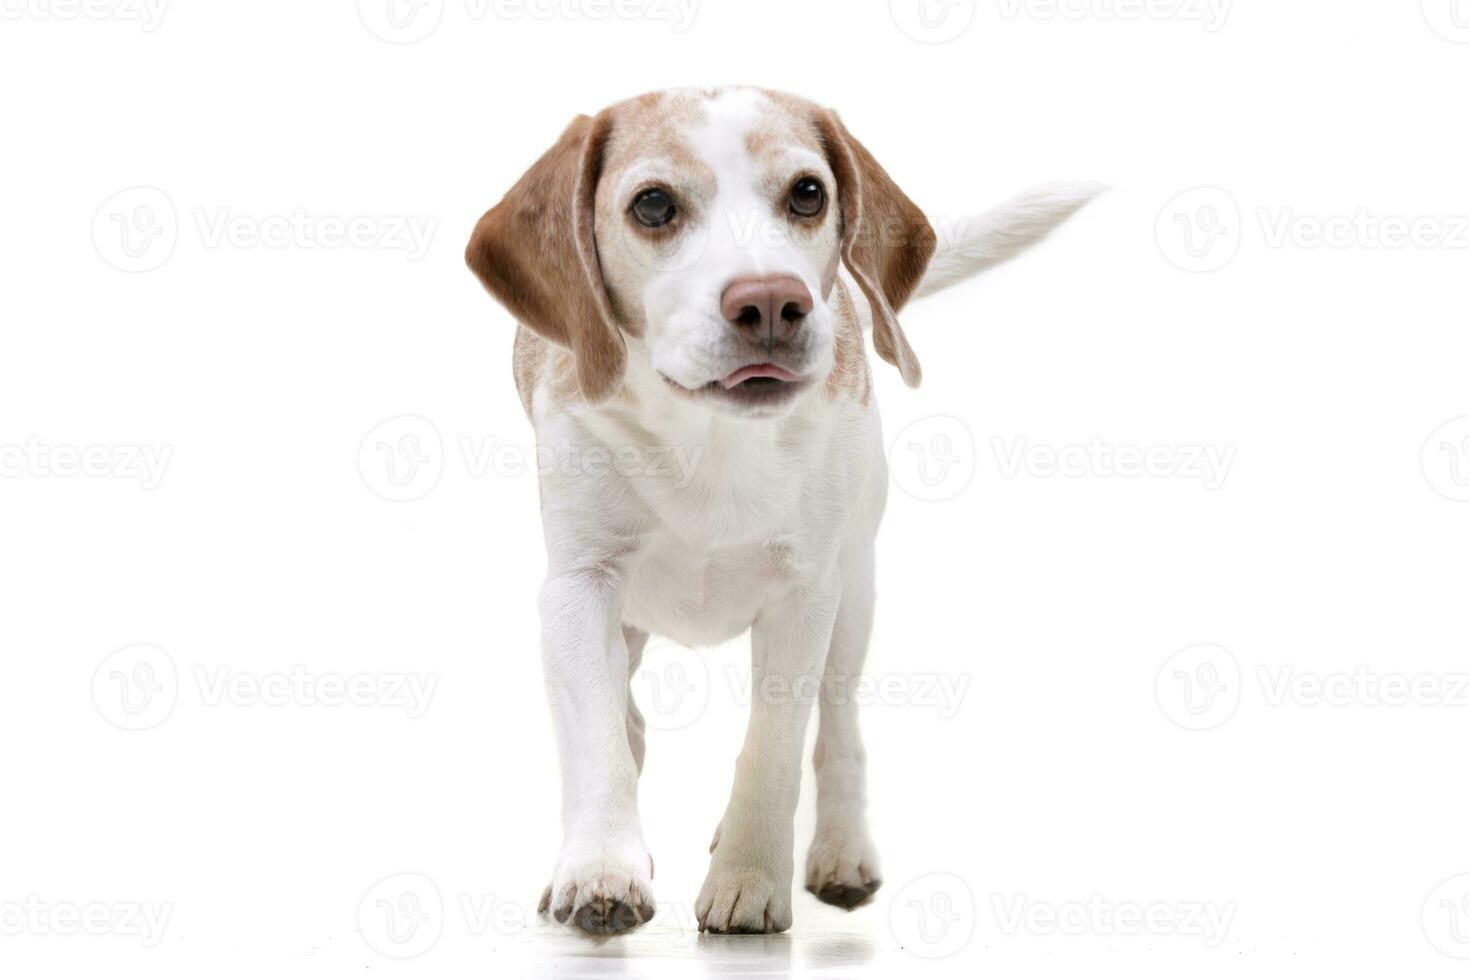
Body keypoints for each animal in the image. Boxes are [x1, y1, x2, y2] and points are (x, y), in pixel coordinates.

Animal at [464, 84, 1098, 934]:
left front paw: (748, 877)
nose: (770, 300)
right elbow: (599, 740)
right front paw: (601, 864)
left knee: (837, 733)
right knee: (630, 724)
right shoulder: (577, 590)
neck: (708, 442)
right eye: (652, 204)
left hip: (853, 595)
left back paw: (838, 849)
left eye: (807, 193)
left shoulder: (804, 596)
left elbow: (771, 749)